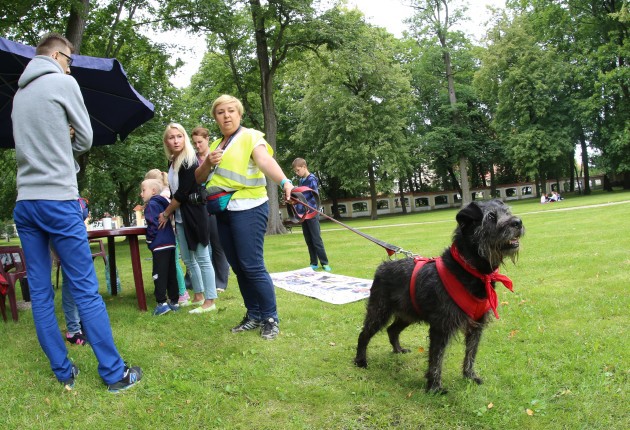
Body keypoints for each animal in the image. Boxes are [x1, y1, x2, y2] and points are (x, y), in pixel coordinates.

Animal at [354, 200, 524, 394]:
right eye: (490, 217)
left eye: (507, 212)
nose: (518, 222)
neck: (470, 270)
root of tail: (382, 267)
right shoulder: (441, 327)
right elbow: (436, 358)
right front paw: (434, 387)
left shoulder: (476, 325)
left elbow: (471, 353)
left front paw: (469, 376)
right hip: (379, 312)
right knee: (364, 334)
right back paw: (360, 361)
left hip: (407, 315)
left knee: (392, 330)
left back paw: (398, 350)